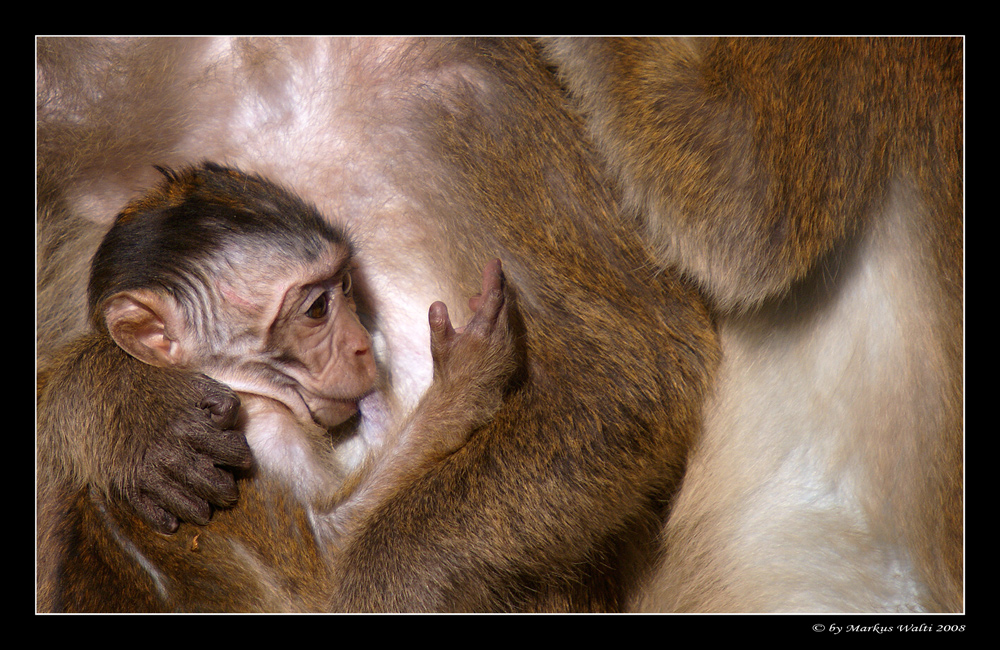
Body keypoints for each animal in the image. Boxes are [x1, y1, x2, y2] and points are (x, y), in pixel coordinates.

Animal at [38, 161, 520, 608]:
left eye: (346, 284)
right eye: (317, 308)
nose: (363, 345)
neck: (247, 387)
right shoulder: (261, 433)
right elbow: (328, 567)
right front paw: (464, 378)